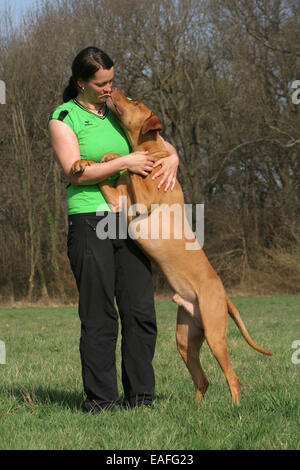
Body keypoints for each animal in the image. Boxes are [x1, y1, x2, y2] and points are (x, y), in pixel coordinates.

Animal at [71, 88, 272, 404]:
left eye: (135, 101)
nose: (113, 89)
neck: (155, 153)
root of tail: (224, 294)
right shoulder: (120, 203)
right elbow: (105, 178)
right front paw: (84, 164)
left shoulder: (142, 201)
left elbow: (129, 166)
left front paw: (117, 156)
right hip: (185, 338)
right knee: (202, 379)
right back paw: (197, 408)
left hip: (215, 334)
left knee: (232, 376)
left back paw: (234, 407)